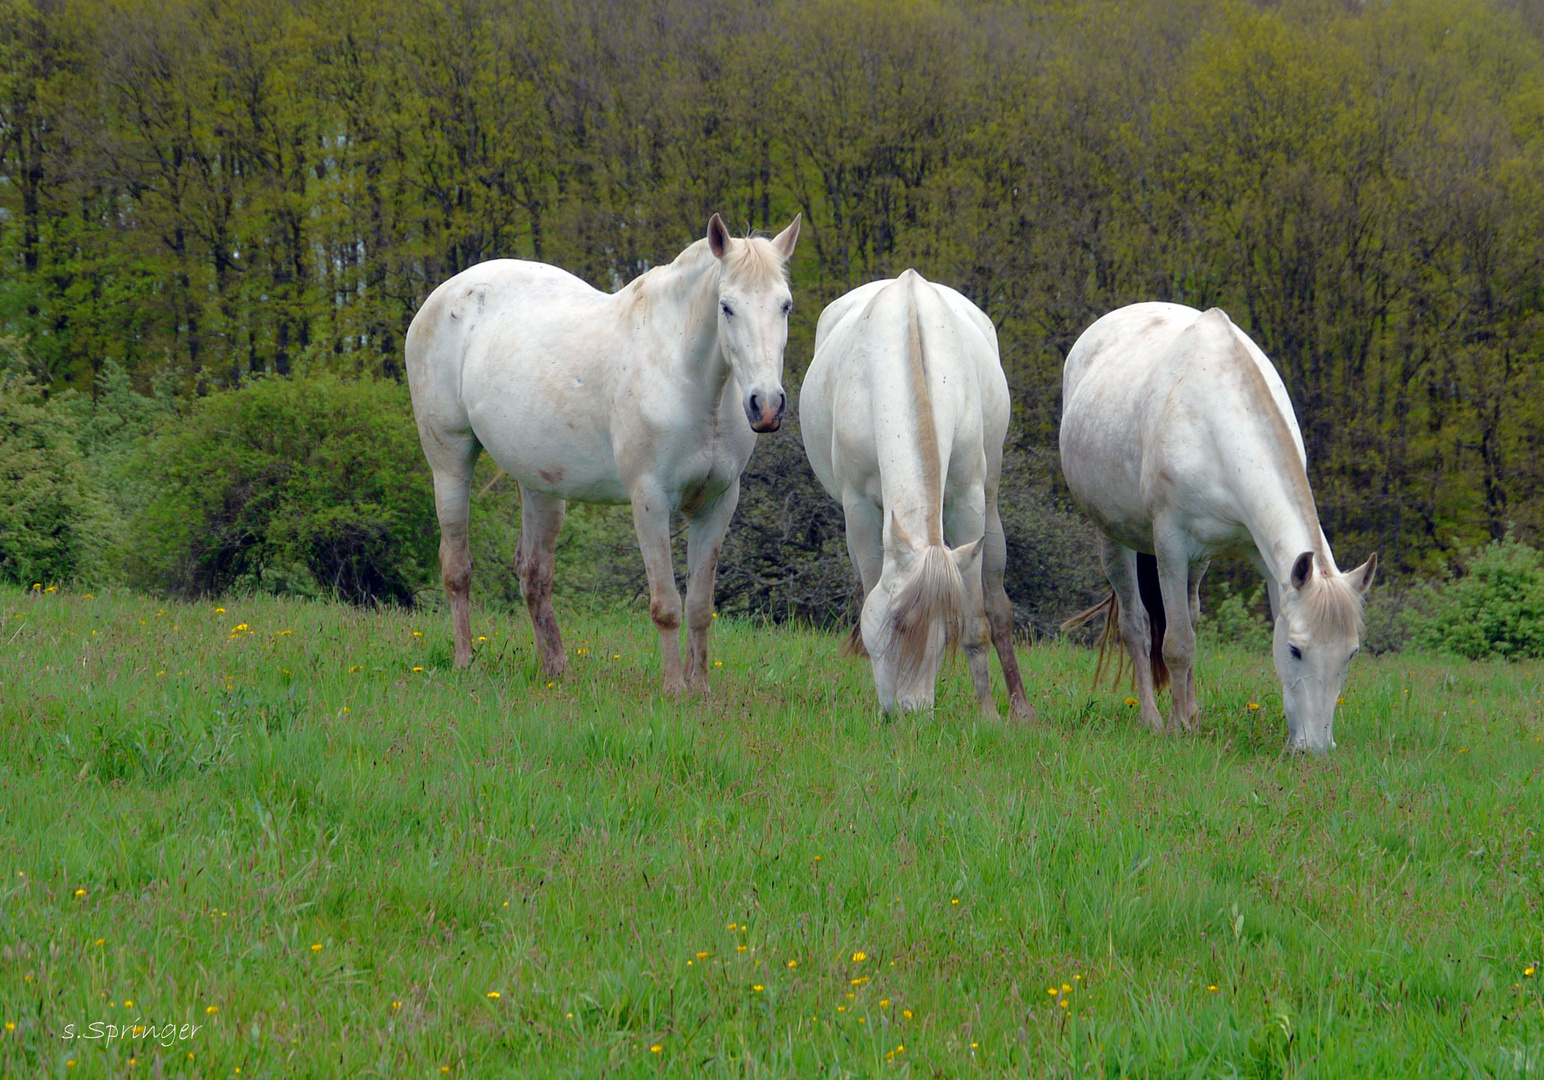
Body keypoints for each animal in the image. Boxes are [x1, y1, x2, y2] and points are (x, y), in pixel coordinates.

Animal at [404, 214, 802, 698]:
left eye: (785, 306)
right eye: (726, 307)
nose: (767, 405)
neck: (686, 377)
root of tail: (444, 295)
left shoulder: (717, 504)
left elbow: (699, 606)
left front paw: (701, 691)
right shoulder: (649, 501)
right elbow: (666, 604)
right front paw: (673, 690)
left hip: (540, 483)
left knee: (534, 574)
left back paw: (555, 669)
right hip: (450, 461)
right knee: (457, 565)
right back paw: (465, 661)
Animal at [796, 268, 1037, 716]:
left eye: (946, 632)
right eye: (896, 623)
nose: (912, 711)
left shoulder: (968, 504)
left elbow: (977, 618)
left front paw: (989, 713)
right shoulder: (859, 511)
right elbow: (870, 590)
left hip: (990, 501)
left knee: (997, 603)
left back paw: (1021, 708)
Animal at [1062, 302, 1377, 750]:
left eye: (1350, 654)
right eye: (1296, 650)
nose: (1316, 749)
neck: (1213, 420)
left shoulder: (1266, 559)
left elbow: (1193, 632)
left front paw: (1193, 719)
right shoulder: (1171, 544)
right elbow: (1176, 644)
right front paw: (1176, 729)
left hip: (1201, 559)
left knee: (1190, 616)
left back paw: (1192, 711)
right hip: (1113, 537)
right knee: (1137, 627)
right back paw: (1152, 719)